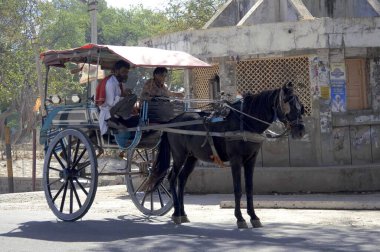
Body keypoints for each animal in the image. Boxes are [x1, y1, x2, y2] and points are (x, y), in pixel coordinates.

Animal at [145, 82, 306, 228]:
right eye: (287, 103)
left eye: (301, 106)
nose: (301, 131)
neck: (245, 121)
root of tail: (172, 121)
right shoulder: (236, 159)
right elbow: (237, 188)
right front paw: (240, 218)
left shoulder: (251, 159)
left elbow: (249, 188)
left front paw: (254, 217)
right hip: (179, 155)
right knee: (172, 178)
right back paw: (176, 214)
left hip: (191, 157)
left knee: (182, 179)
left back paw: (183, 214)